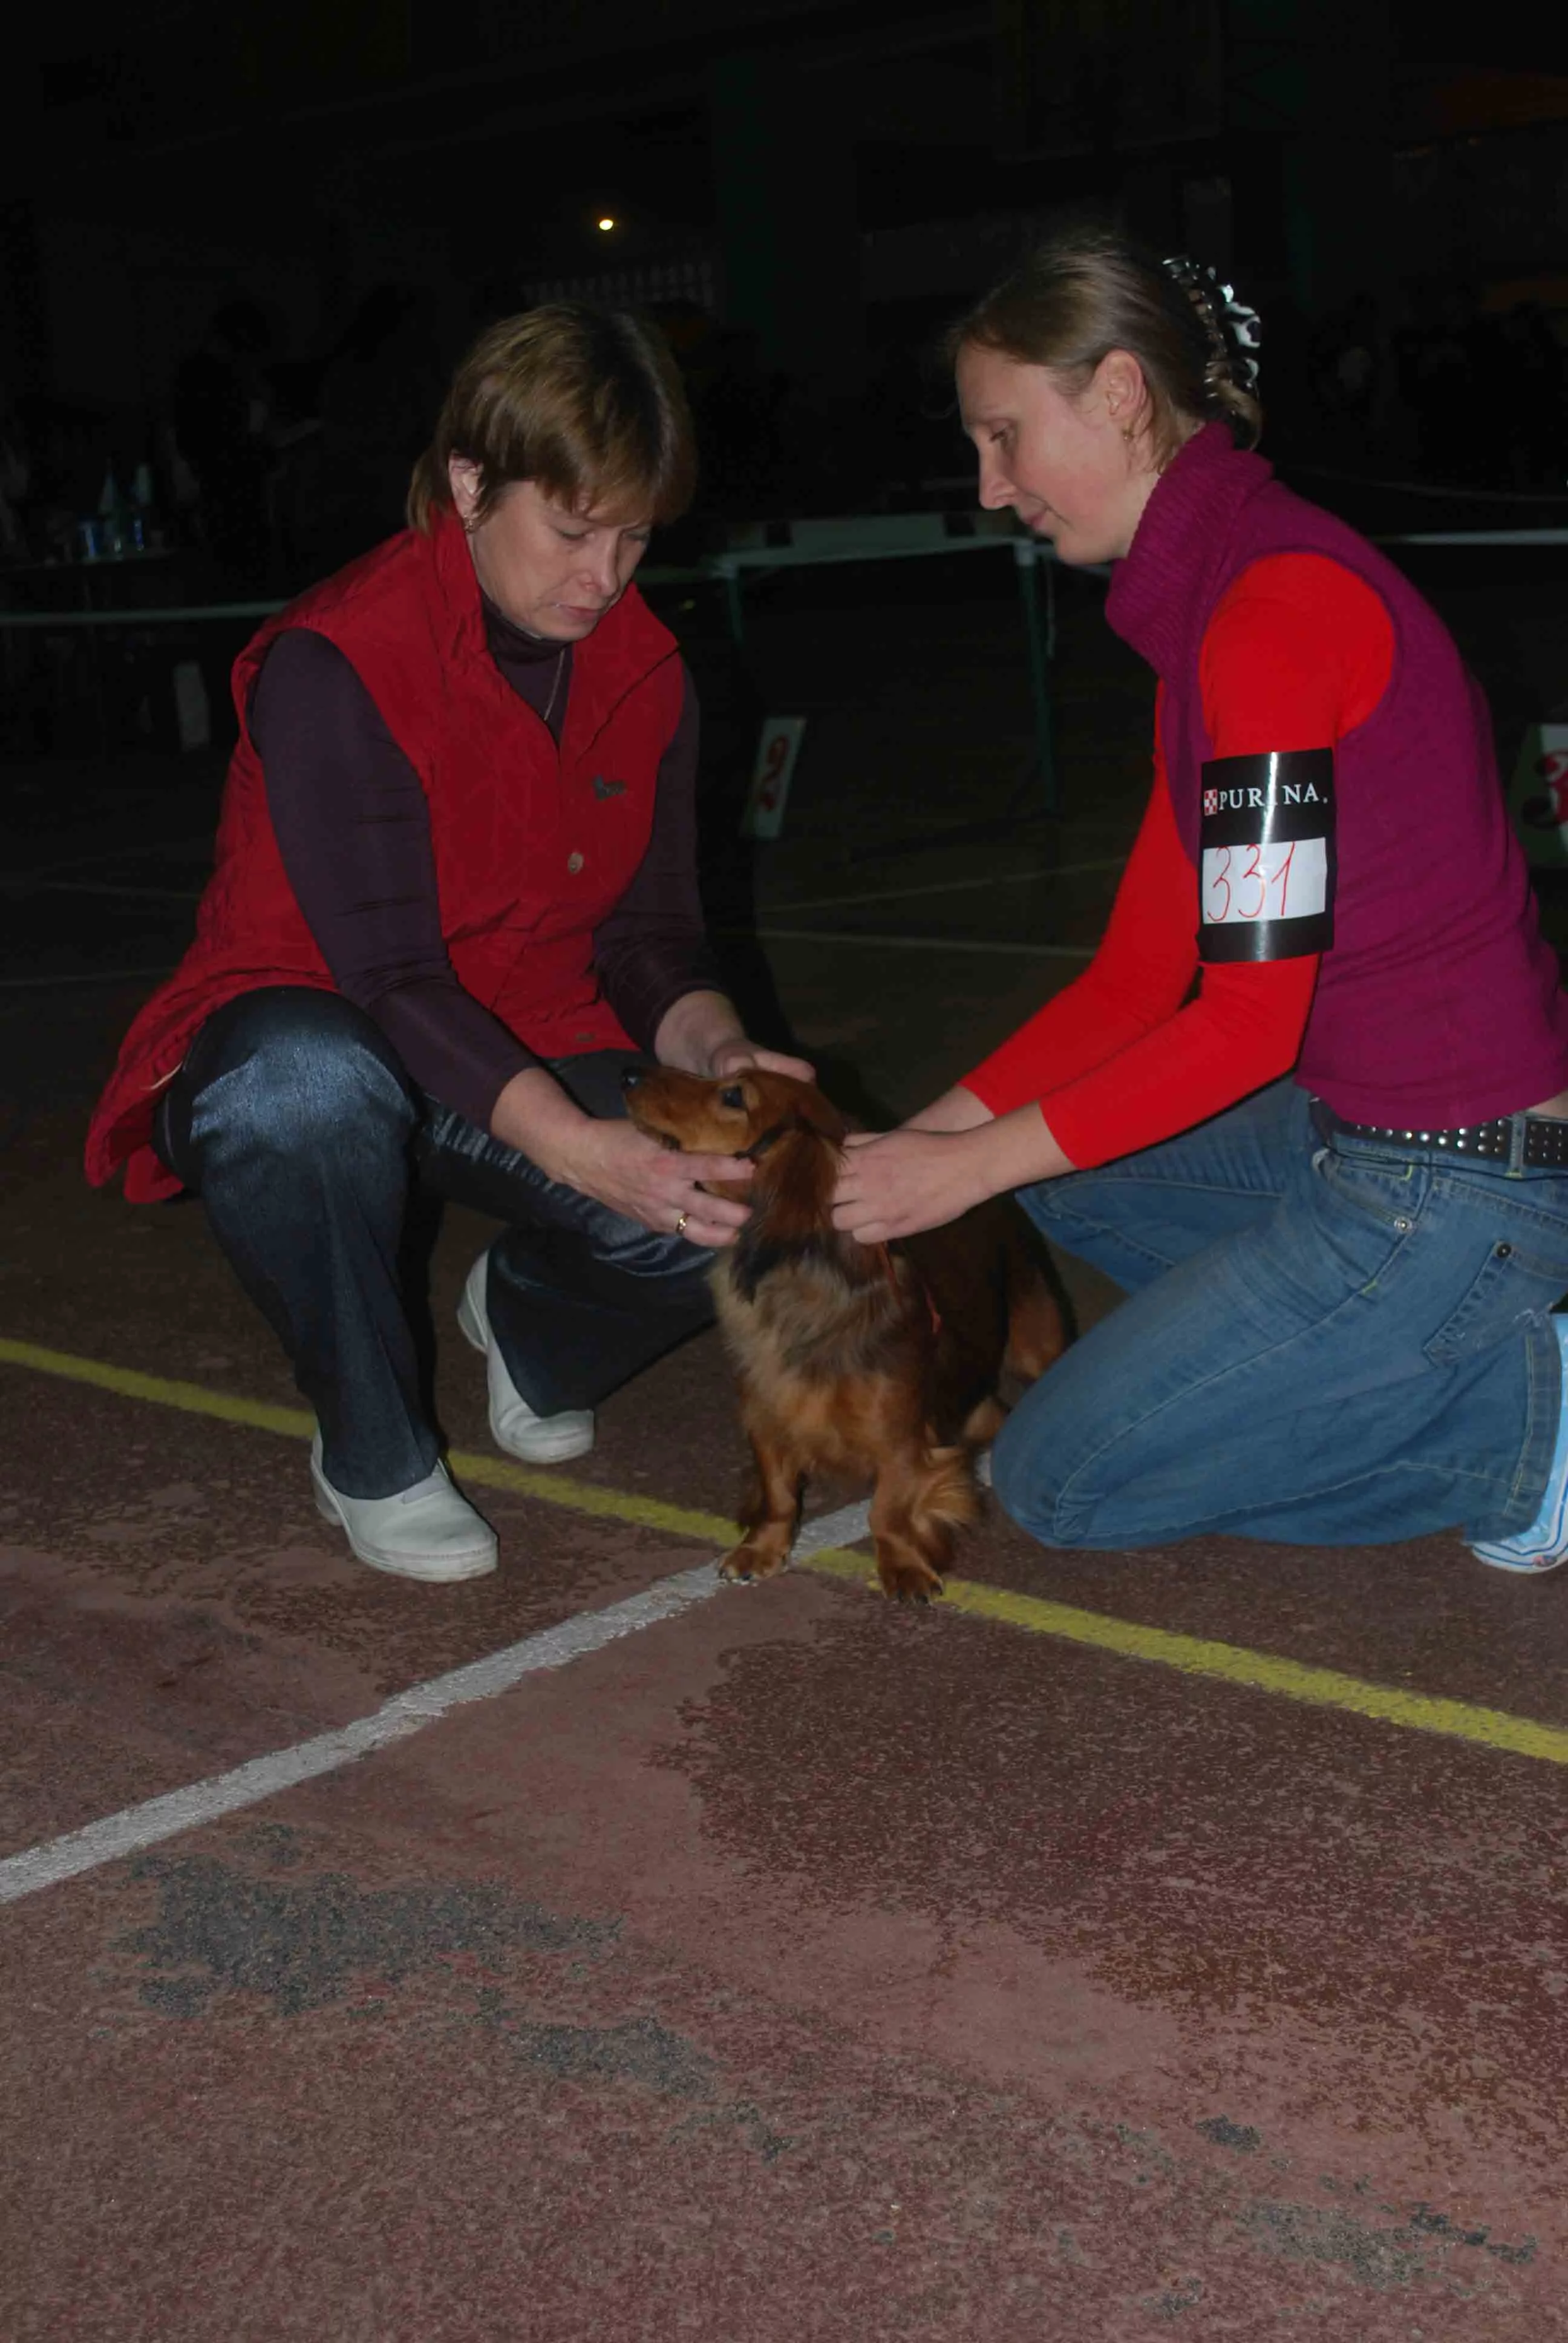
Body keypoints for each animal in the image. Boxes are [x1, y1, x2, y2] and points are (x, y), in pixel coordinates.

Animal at [623, 1065, 1070, 1601]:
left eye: (733, 1095)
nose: (629, 1074)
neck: (799, 1297)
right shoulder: (767, 1418)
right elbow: (778, 1495)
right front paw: (761, 1550)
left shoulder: (902, 1440)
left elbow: (887, 1511)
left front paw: (903, 1567)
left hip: (1034, 1340)